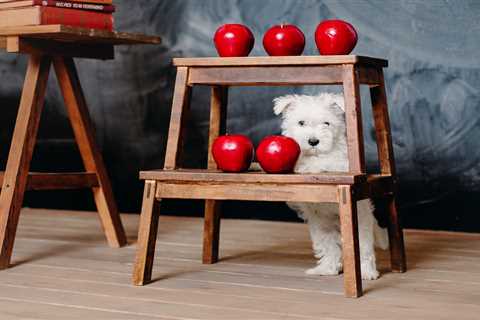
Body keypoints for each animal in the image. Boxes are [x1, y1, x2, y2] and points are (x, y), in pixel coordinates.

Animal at [272, 92, 388, 280]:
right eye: (301, 123)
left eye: (326, 123)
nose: (313, 141)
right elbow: (328, 245)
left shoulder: (337, 164)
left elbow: (322, 163)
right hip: (324, 224)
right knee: (329, 245)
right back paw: (328, 268)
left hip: (360, 220)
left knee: (363, 247)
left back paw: (366, 272)